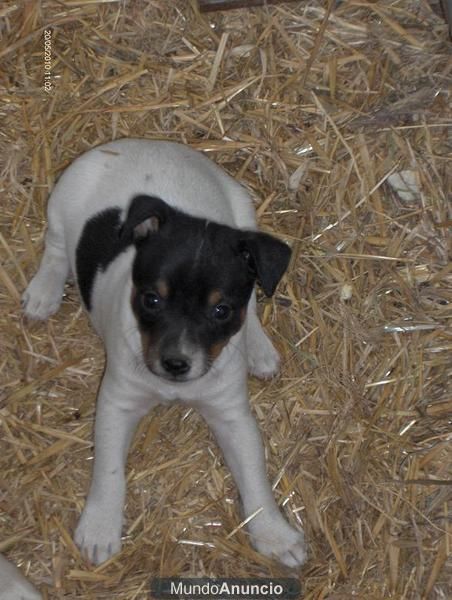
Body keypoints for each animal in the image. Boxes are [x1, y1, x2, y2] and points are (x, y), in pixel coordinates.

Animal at [22, 139, 308, 568]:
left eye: (221, 311)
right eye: (151, 300)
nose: (175, 364)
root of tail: (143, 142)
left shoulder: (232, 415)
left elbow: (255, 476)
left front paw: (273, 532)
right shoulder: (117, 403)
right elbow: (109, 472)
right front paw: (100, 527)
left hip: (244, 209)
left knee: (257, 301)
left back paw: (258, 349)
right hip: (60, 206)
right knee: (56, 250)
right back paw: (43, 291)